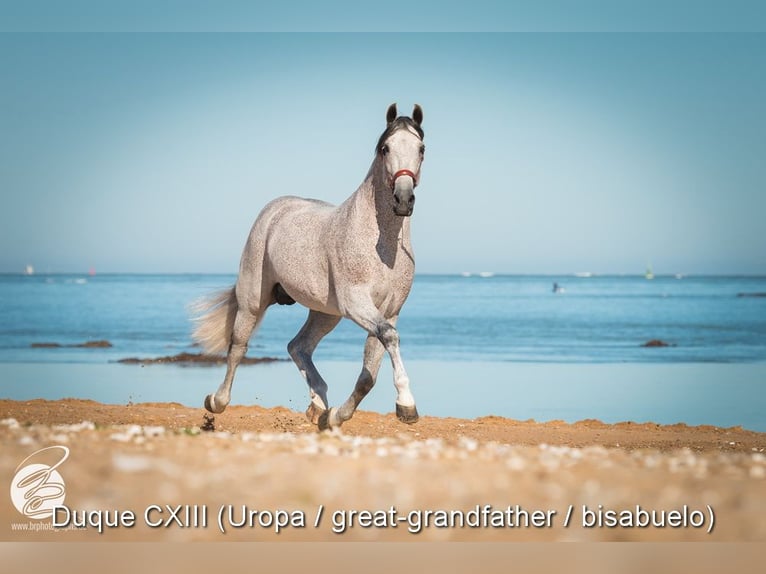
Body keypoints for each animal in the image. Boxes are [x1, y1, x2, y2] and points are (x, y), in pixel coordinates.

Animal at [192, 103, 425, 430]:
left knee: (298, 346)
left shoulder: (389, 311)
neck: (381, 247)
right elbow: (389, 339)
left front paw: (335, 416)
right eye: (385, 148)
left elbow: (369, 374)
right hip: (253, 300)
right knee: (239, 346)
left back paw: (318, 405)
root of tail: (275, 209)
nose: (403, 199)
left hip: (325, 313)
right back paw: (216, 401)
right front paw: (407, 404)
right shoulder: (357, 303)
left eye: (421, 149)